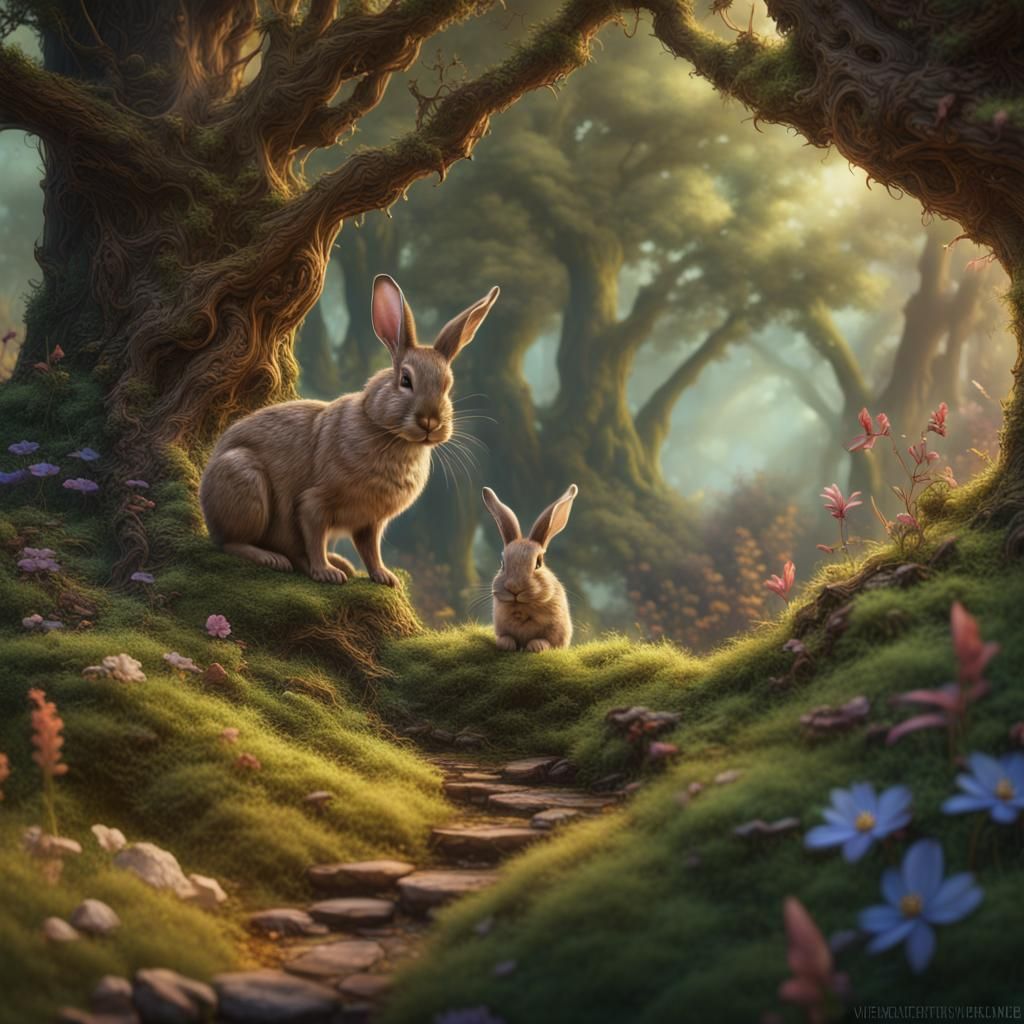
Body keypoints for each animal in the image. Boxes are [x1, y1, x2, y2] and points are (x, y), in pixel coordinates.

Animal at [200, 274, 500, 586]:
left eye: (447, 386)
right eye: (406, 380)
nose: (430, 422)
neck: (385, 431)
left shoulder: (371, 521)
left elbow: (370, 549)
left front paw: (384, 577)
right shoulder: (315, 503)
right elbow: (315, 536)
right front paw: (326, 573)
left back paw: (338, 562)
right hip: (245, 481)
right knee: (231, 542)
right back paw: (274, 558)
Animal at [482, 483, 578, 652]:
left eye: (538, 563)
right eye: (502, 563)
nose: (514, 588)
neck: (522, 606)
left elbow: (548, 641)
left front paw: (537, 645)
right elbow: (506, 636)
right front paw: (506, 644)